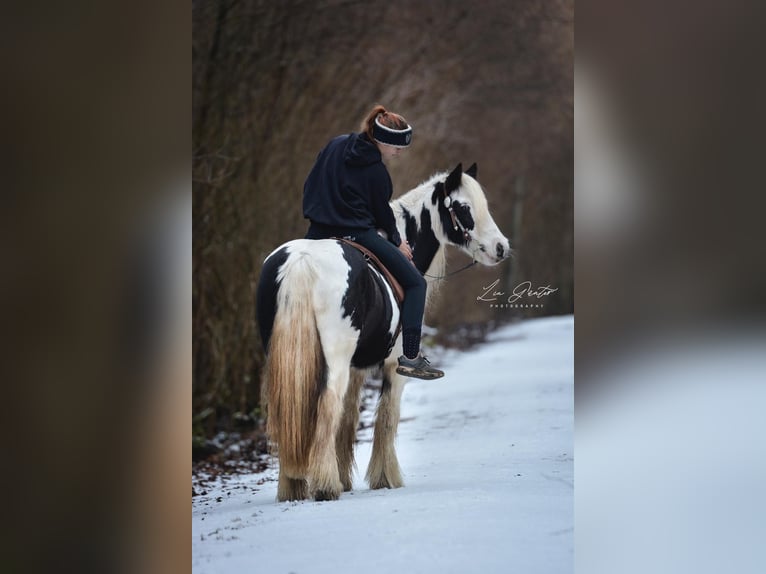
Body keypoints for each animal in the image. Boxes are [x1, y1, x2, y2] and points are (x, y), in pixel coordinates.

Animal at [256, 163, 510, 504]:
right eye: (464, 208)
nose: (501, 248)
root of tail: (301, 261)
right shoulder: (393, 368)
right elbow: (386, 419)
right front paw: (385, 478)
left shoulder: (356, 369)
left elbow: (349, 419)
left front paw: (347, 478)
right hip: (334, 361)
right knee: (326, 407)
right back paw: (324, 485)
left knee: (290, 411)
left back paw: (294, 486)